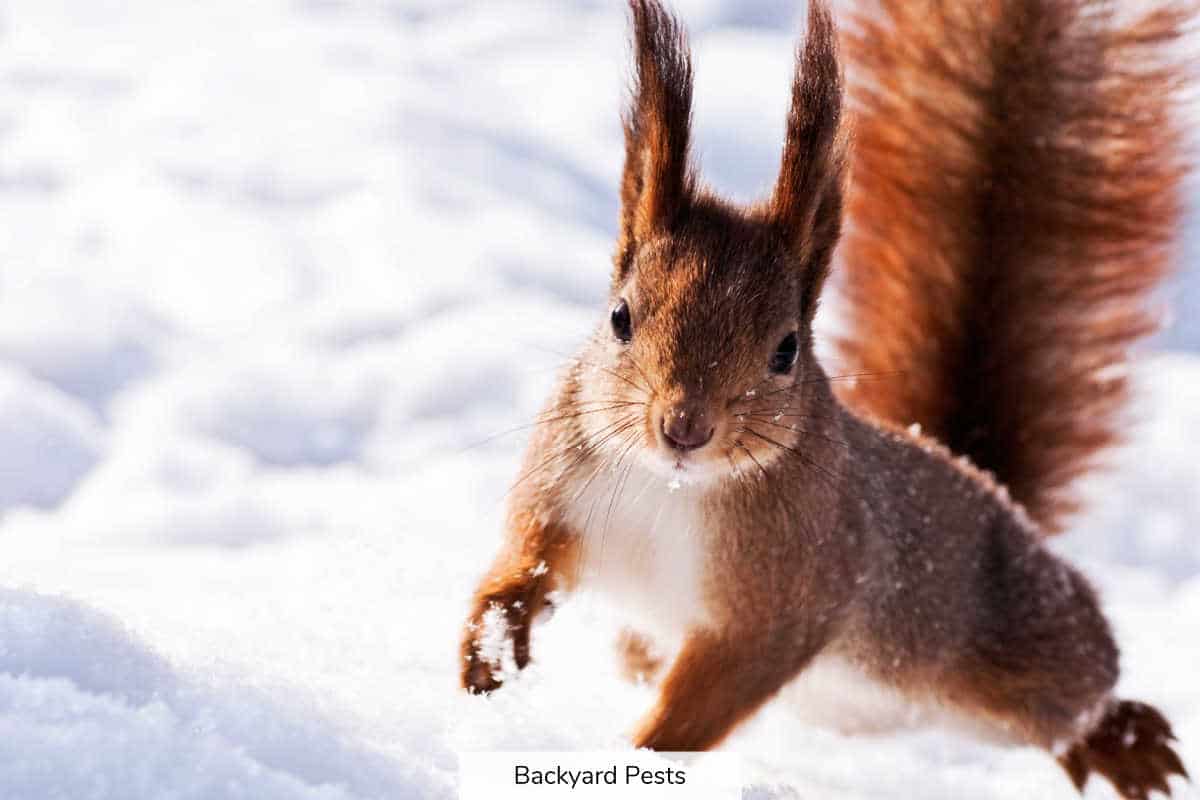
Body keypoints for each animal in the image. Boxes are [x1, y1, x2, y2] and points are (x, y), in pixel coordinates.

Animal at [459, 0, 1192, 797]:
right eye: (621, 317)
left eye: (785, 350)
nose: (684, 427)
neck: (673, 489)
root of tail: (996, 491)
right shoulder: (561, 496)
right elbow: (523, 566)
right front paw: (488, 655)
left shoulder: (785, 604)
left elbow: (709, 696)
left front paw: (643, 753)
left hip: (1022, 641)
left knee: (1082, 689)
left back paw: (1125, 743)